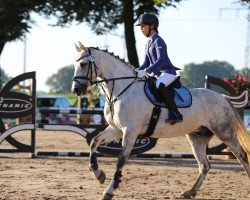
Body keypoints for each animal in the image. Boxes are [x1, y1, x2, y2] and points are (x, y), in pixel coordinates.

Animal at [71, 41, 250, 199]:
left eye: (84, 64)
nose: (76, 90)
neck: (121, 90)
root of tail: (223, 98)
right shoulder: (116, 129)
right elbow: (94, 142)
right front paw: (99, 174)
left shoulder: (130, 132)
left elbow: (121, 159)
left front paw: (109, 191)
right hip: (197, 137)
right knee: (205, 165)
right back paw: (189, 192)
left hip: (225, 133)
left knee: (241, 156)